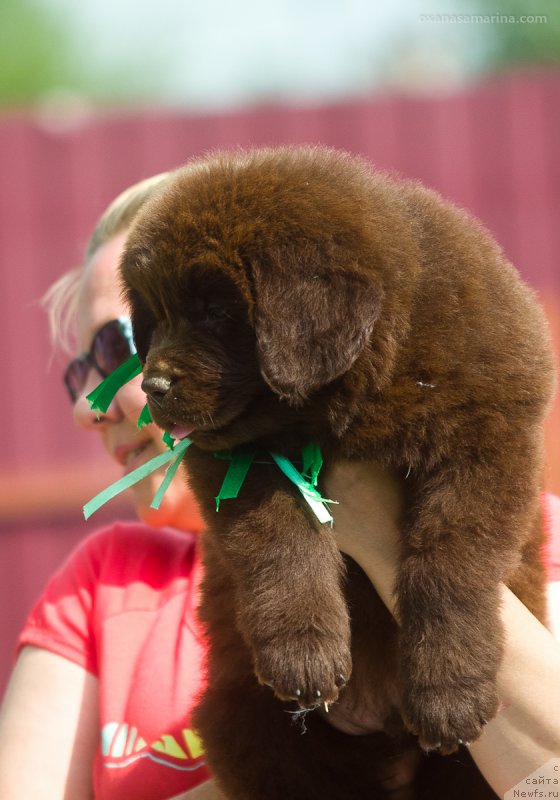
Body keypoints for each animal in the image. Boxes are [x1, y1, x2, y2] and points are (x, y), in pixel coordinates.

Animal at [119, 147, 556, 796]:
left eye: (216, 311)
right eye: (157, 317)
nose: (152, 387)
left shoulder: (485, 441)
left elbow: (448, 562)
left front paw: (449, 694)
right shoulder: (239, 460)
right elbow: (282, 542)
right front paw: (304, 655)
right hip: (254, 728)